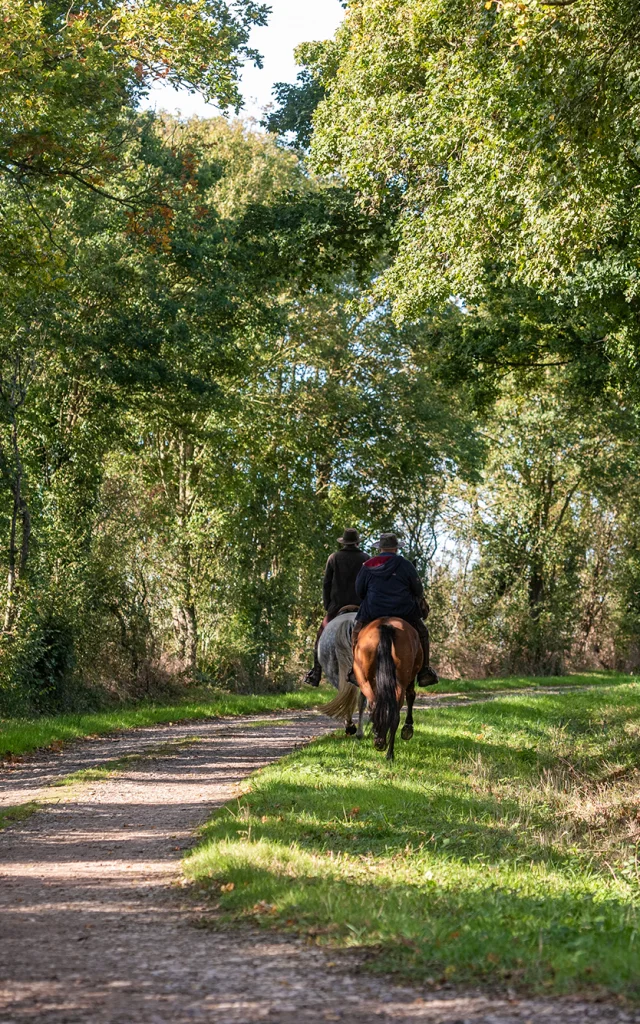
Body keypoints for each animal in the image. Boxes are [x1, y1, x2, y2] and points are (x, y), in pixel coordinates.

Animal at [352, 614, 421, 761]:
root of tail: (386, 625)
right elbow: (411, 695)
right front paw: (408, 728)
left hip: (365, 680)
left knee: (375, 706)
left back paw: (380, 741)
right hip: (399, 681)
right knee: (393, 712)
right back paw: (388, 751)